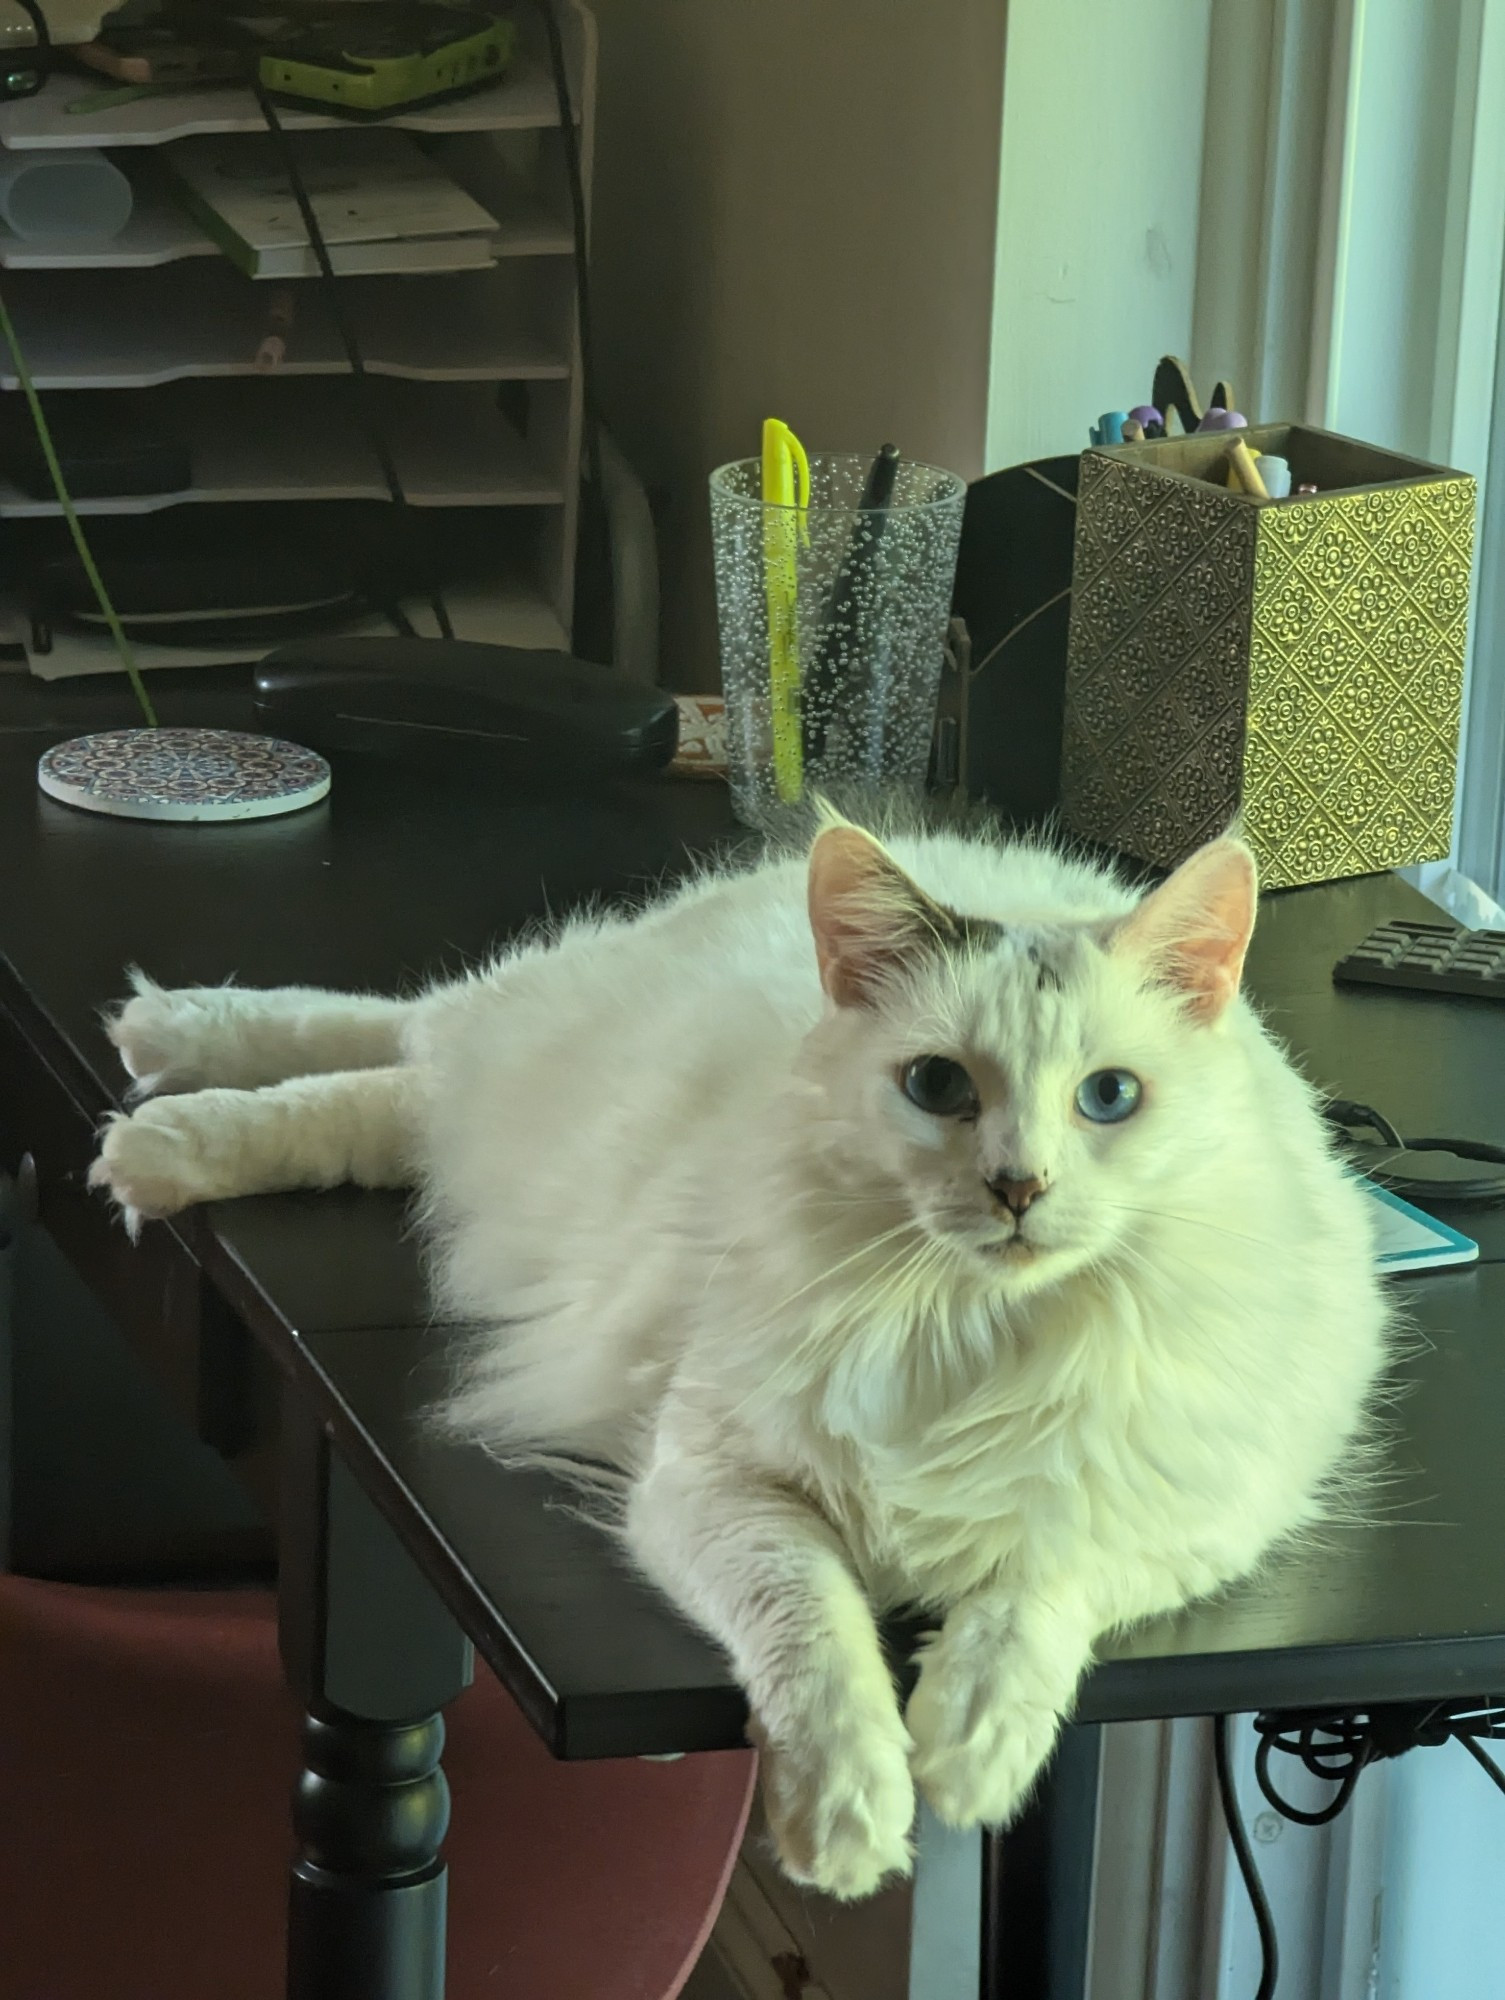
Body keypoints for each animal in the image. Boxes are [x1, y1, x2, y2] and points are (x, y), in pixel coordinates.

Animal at [91, 816, 1384, 1904]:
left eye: (1109, 1097)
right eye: (937, 1086)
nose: (1018, 1189)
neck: (968, 1330)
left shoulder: (1173, 1520)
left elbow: (1031, 1595)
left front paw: (966, 1753)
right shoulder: (716, 1484)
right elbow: (816, 1639)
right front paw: (851, 1819)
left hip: (476, 1113)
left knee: (393, 1089)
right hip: (512, 1049)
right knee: (392, 1031)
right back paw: (160, 1089)